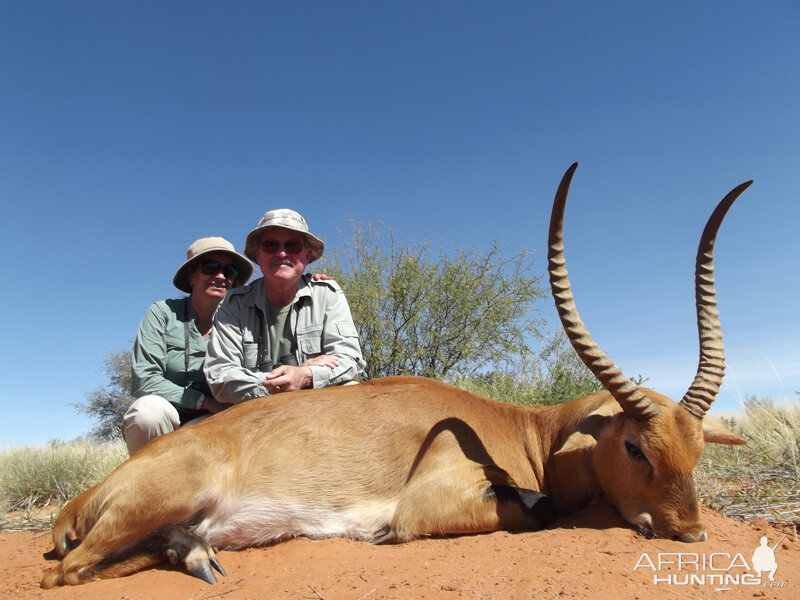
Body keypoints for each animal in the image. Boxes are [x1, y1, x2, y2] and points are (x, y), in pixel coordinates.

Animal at [39, 163, 752, 584]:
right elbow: (535, 507)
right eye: (634, 446)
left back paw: (199, 560)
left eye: (696, 451)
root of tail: (85, 495)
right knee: (65, 571)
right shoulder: (428, 504)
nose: (689, 533)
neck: (522, 430)